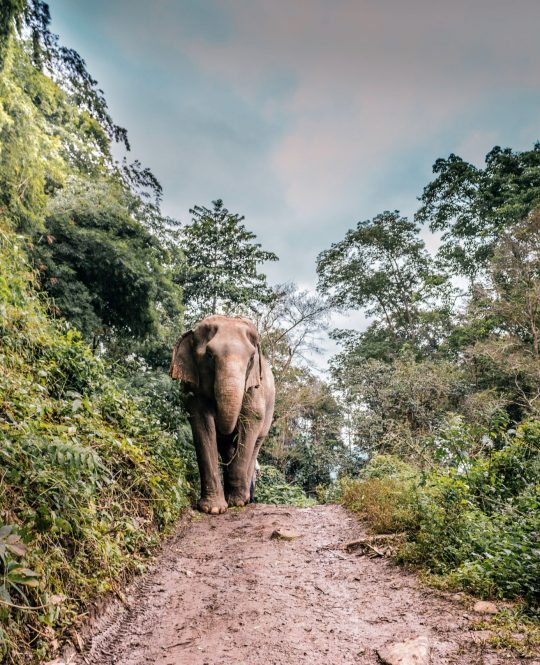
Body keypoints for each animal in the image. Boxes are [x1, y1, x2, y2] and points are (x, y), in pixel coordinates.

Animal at [171, 316, 276, 512]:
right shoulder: (194, 389)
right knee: (226, 447)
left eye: (251, 359)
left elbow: (251, 421)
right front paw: (213, 509)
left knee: (255, 444)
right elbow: (202, 423)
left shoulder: (254, 388)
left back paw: (244, 498)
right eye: (209, 356)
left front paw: (237, 503)